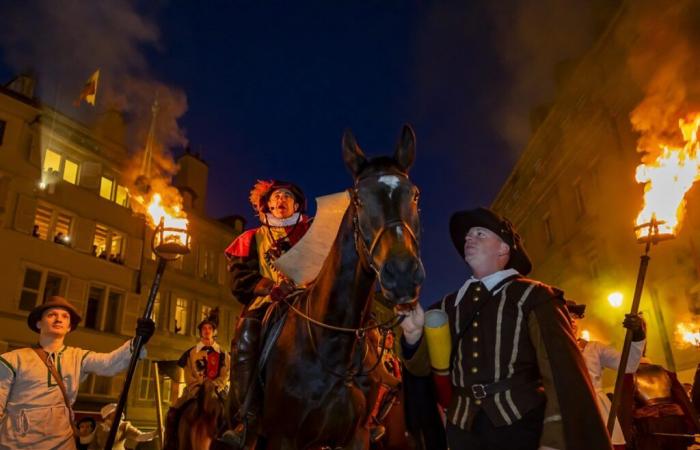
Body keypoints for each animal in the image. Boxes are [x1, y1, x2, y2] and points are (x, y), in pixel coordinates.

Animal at [254, 125, 424, 450]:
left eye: (415, 196)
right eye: (358, 200)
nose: (402, 275)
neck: (332, 348)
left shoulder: (356, 435)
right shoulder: (283, 437)